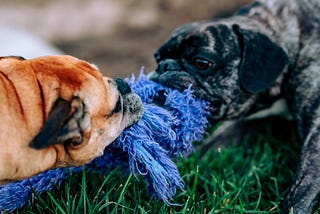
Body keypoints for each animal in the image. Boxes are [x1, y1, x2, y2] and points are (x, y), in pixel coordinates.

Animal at [149, 0, 320, 213]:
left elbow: (304, 182)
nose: (164, 66)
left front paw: (292, 207)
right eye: (157, 58)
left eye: (202, 63)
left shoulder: (316, 131)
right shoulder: (245, 123)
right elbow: (207, 147)